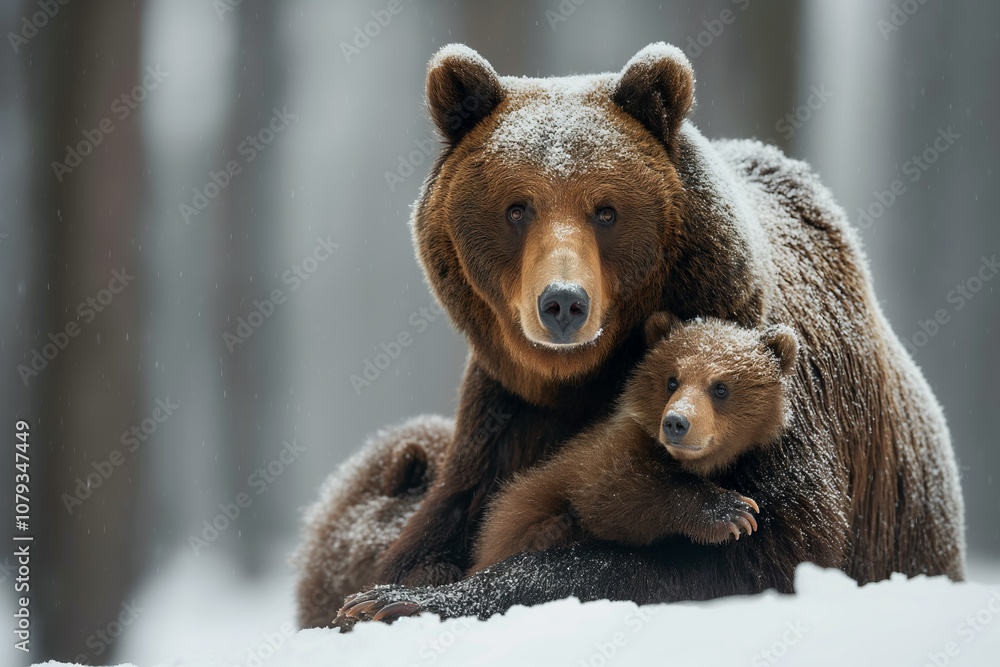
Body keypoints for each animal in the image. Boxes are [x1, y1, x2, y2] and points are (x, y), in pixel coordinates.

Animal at [470, 313, 798, 573]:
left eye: (720, 387)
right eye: (672, 380)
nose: (676, 422)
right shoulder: (609, 450)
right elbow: (609, 492)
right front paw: (733, 512)